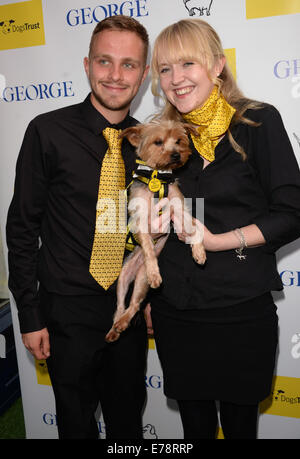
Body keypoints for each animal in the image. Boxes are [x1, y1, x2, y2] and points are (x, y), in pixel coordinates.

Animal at [105, 120, 206, 344]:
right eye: (158, 142)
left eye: (179, 140)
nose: (177, 154)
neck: (157, 177)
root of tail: (136, 268)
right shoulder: (140, 220)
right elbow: (149, 249)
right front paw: (154, 271)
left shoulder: (179, 208)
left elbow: (193, 228)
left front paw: (199, 252)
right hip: (123, 276)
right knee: (120, 304)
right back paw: (115, 326)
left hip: (141, 282)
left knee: (134, 304)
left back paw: (121, 324)